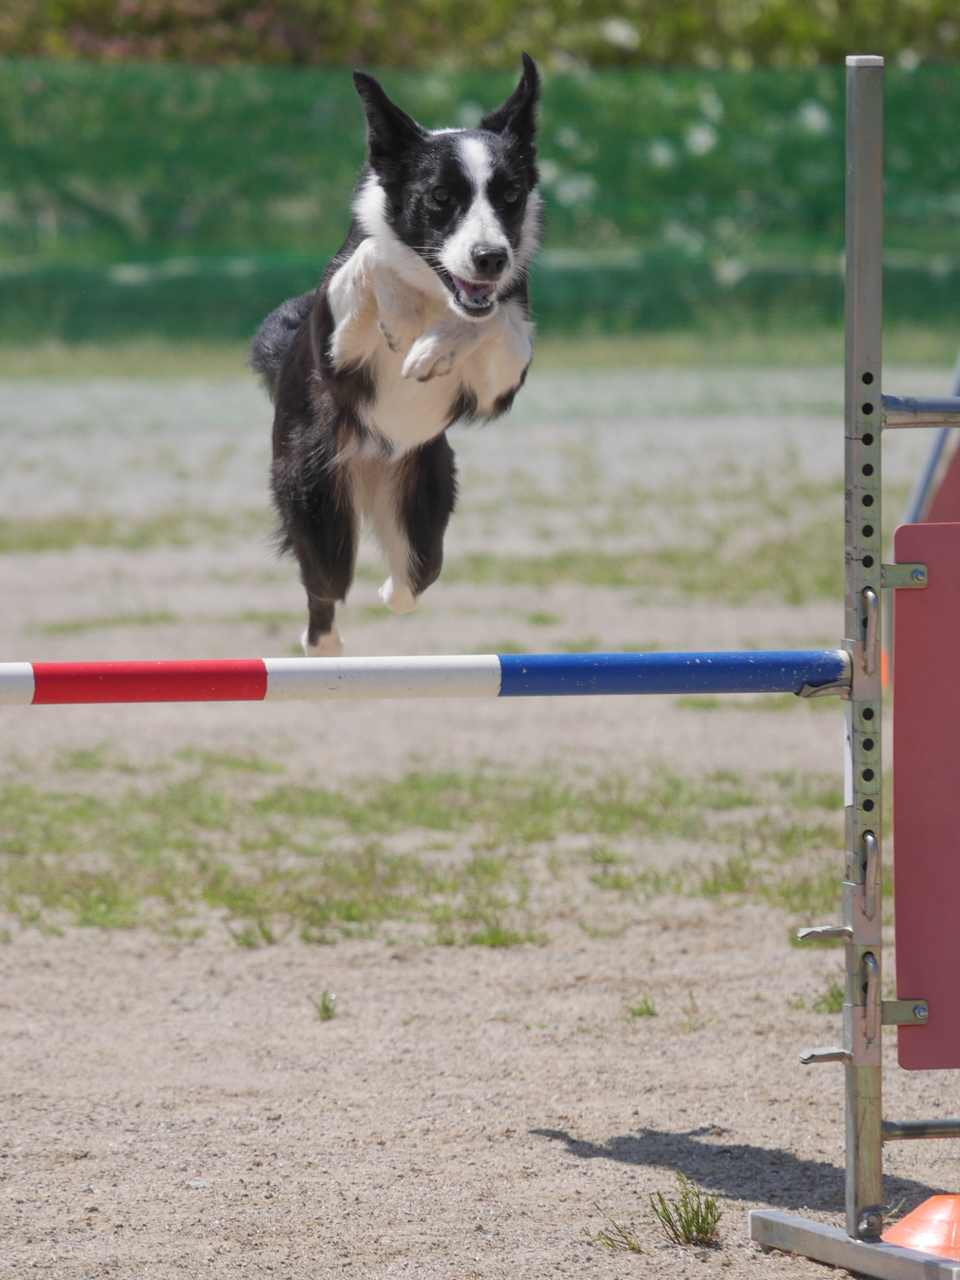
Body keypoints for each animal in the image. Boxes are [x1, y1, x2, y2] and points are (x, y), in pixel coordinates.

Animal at [251, 54, 542, 656]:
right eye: (439, 196)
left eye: (510, 194)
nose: (490, 258)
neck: (437, 288)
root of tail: (367, 467)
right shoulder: (333, 349)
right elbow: (373, 254)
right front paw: (403, 316)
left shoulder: (500, 381)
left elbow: (492, 318)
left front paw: (432, 348)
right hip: (315, 495)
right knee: (325, 586)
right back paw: (323, 647)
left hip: (423, 494)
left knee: (414, 576)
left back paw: (390, 590)